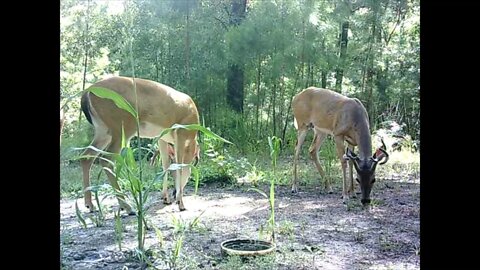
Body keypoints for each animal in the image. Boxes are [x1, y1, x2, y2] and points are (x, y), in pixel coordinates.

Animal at [79, 76, 200, 213]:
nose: (174, 193)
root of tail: (87, 93)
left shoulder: (162, 138)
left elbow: (166, 165)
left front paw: (166, 198)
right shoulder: (181, 132)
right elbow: (180, 166)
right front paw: (181, 203)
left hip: (103, 131)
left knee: (86, 157)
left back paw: (90, 204)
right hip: (122, 127)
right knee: (106, 159)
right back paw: (127, 206)